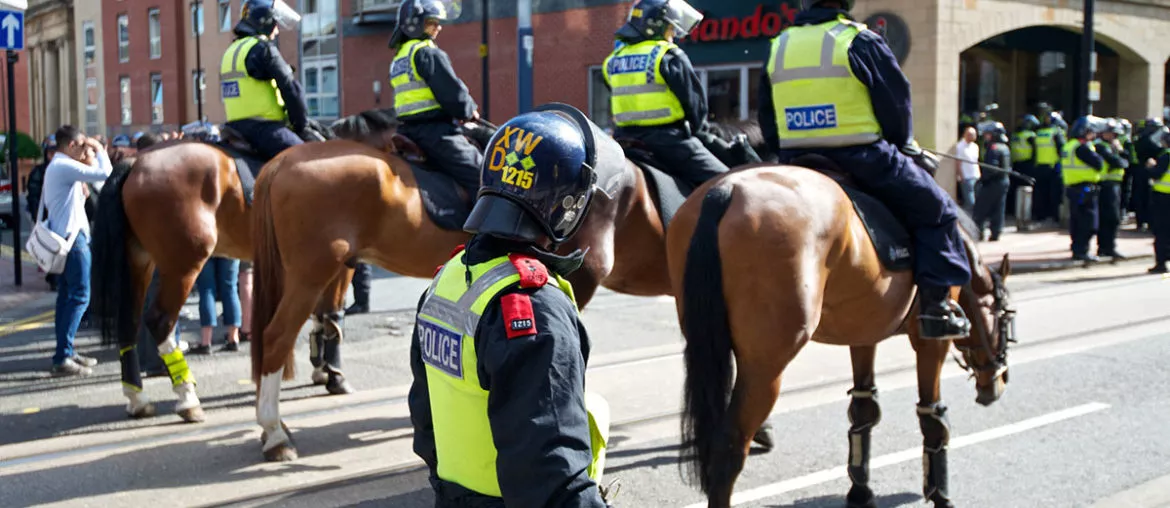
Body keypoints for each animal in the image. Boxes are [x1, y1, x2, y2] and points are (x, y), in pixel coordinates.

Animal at [669, 165, 1015, 505]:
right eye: (1006, 317)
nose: (998, 384)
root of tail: (726, 190)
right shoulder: (930, 343)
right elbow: (932, 415)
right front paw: (940, 496)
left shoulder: (862, 335)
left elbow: (863, 407)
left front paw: (860, 491)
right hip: (764, 368)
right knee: (729, 448)